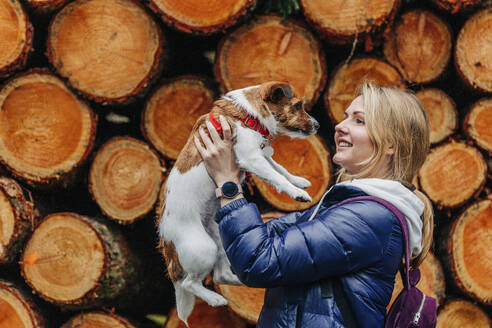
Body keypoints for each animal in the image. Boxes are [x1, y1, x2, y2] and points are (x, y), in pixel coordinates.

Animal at [158, 81, 320, 322]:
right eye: (298, 106)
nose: (318, 125)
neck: (248, 116)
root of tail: (166, 239)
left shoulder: (261, 156)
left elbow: (280, 168)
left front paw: (298, 181)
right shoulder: (251, 157)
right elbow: (277, 176)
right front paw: (296, 192)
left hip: (220, 239)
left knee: (220, 275)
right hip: (203, 249)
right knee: (189, 283)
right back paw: (215, 299)